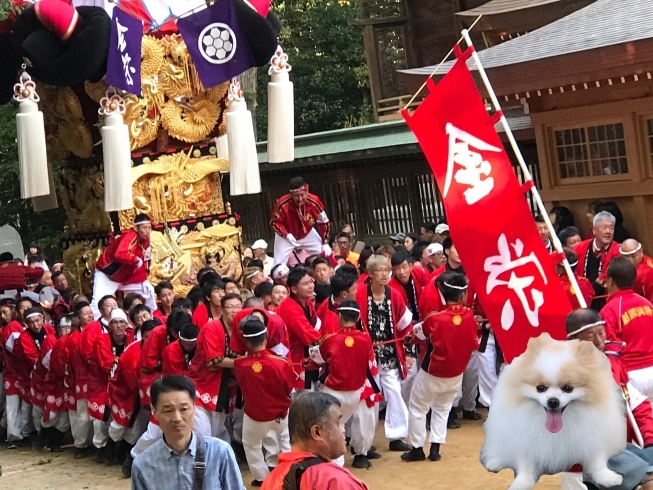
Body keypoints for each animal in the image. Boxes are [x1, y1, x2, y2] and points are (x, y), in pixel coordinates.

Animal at [478, 334, 628, 490]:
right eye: (540, 388)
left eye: (568, 388)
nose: (553, 401)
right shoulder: (526, 440)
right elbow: (526, 464)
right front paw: (521, 483)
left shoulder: (590, 438)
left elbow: (596, 461)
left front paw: (607, 478)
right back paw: (494, 462)